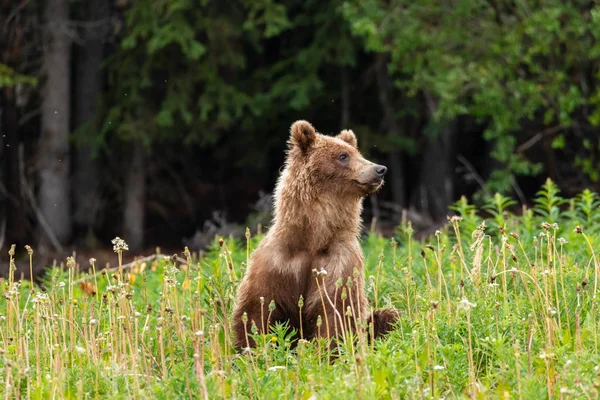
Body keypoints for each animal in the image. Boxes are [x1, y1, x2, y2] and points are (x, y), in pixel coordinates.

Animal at [233, 120, 398, 348]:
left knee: (389, 316)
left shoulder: (339, 264)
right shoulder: (276, 262)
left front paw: (325, 349)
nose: (380, 169)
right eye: (343, 155)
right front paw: (251, 346)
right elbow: (256, 308)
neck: (312, 238)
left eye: (357, 153)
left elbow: (336, 311)